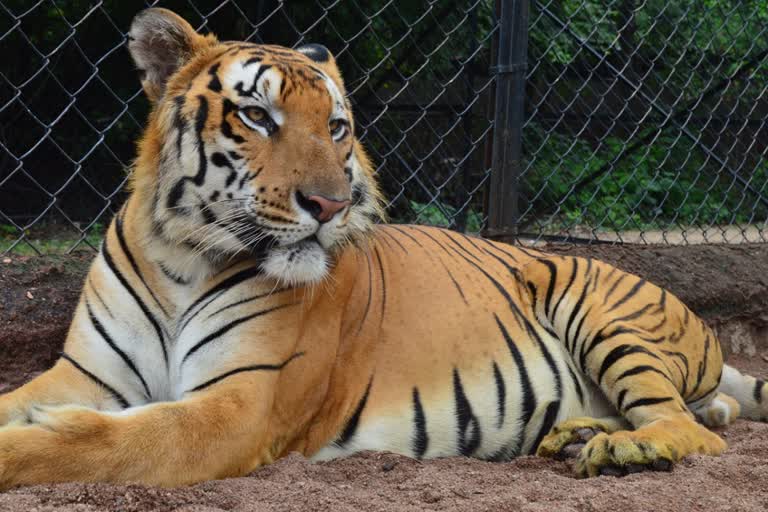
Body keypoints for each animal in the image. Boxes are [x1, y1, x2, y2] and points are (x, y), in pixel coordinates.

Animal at [1, 8, 768, 488]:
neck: (180, 259)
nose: (331, 205)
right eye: (257, 115)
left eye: (336, 127)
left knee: (689, 427)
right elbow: (32, 403)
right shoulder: (86, 374)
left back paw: (621, 446)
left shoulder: (238, 405)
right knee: (704, 415)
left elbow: (104, 441)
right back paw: (579, 434)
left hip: (598, 304)